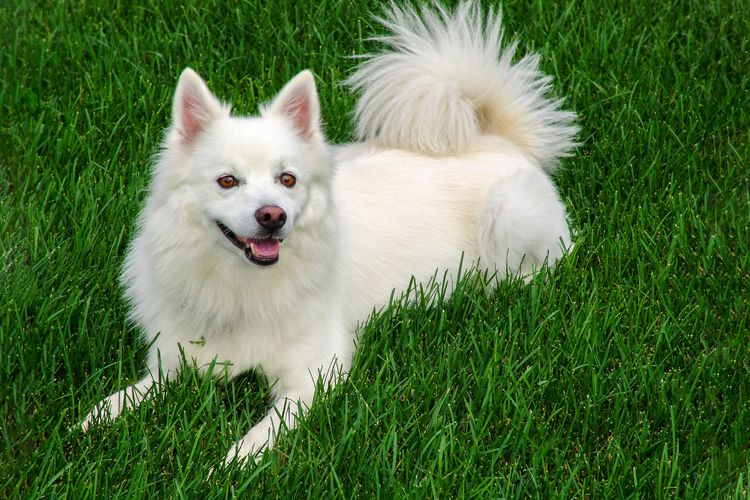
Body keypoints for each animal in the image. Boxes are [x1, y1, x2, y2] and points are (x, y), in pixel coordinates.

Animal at [85, 1, 584, 466]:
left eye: (287, 179)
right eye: (227, 181)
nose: (272, 216)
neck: (241, 286)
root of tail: (501, 140)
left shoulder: (313, 375)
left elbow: (262, 433)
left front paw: (232, 465)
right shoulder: (175, 362)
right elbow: (130, 395)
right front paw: (92, 422)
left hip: (509, 212)